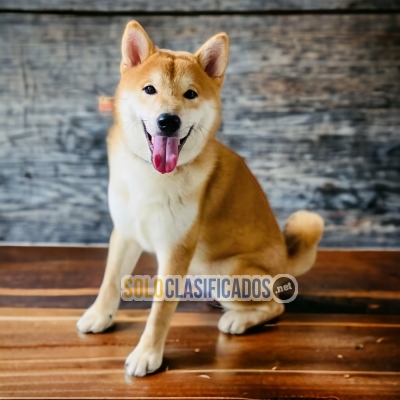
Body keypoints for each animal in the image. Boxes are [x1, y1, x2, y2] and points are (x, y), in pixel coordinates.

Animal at [76, 21, 324, 378]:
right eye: (149, 89)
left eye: (190, 94)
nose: (168, 120)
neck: (153, 176)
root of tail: (284, 262)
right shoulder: (125, 232)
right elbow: (110, 280)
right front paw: (99, 315)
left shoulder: (176, 250)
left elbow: (160, 311)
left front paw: (147, 354)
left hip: (227, 274)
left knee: (275, 305)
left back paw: (237, 319)